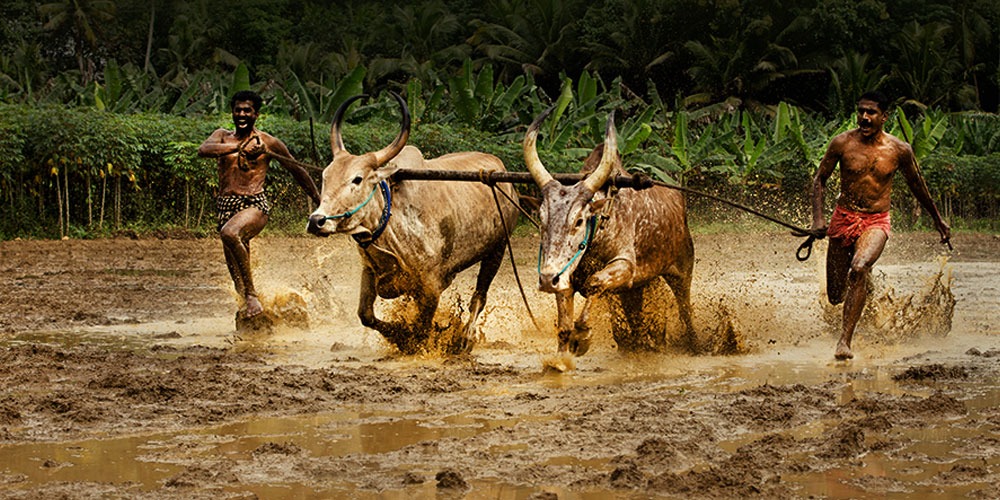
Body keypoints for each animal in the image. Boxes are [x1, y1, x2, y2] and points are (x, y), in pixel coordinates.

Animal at [306, 93, 519, 355]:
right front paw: (398, 335)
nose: (316, 221)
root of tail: (499, 168)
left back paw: (465, 339)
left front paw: (410, 340)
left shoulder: (430, 287)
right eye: (325, 176)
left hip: (497, 250)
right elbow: (365, 315)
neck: (392, 224)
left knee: (479, 297)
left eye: (357, 179)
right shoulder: (370, 270)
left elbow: (421, 330)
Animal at [523, 107, 696, 355]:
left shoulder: (625, 265)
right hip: (637, 287)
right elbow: (564, 329)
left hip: (682, 272)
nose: (547, 280)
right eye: (541, 218)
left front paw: (582, 335)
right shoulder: (564, 278)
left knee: (685, 311)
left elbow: (594, 283)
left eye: (579, 220)